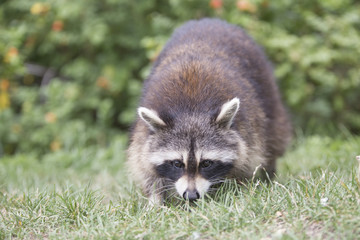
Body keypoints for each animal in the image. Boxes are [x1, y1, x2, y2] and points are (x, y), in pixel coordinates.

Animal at [128, 18, 292, 204]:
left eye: (206, 163)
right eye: (177, 163)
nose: (191, 196)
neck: (190, 111)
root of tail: (209, 21)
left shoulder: (248, 130)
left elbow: (246, 160)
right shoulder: (143, 135)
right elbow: (146, 167)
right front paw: (155, 201)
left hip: (269, 97)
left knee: (274, 139)